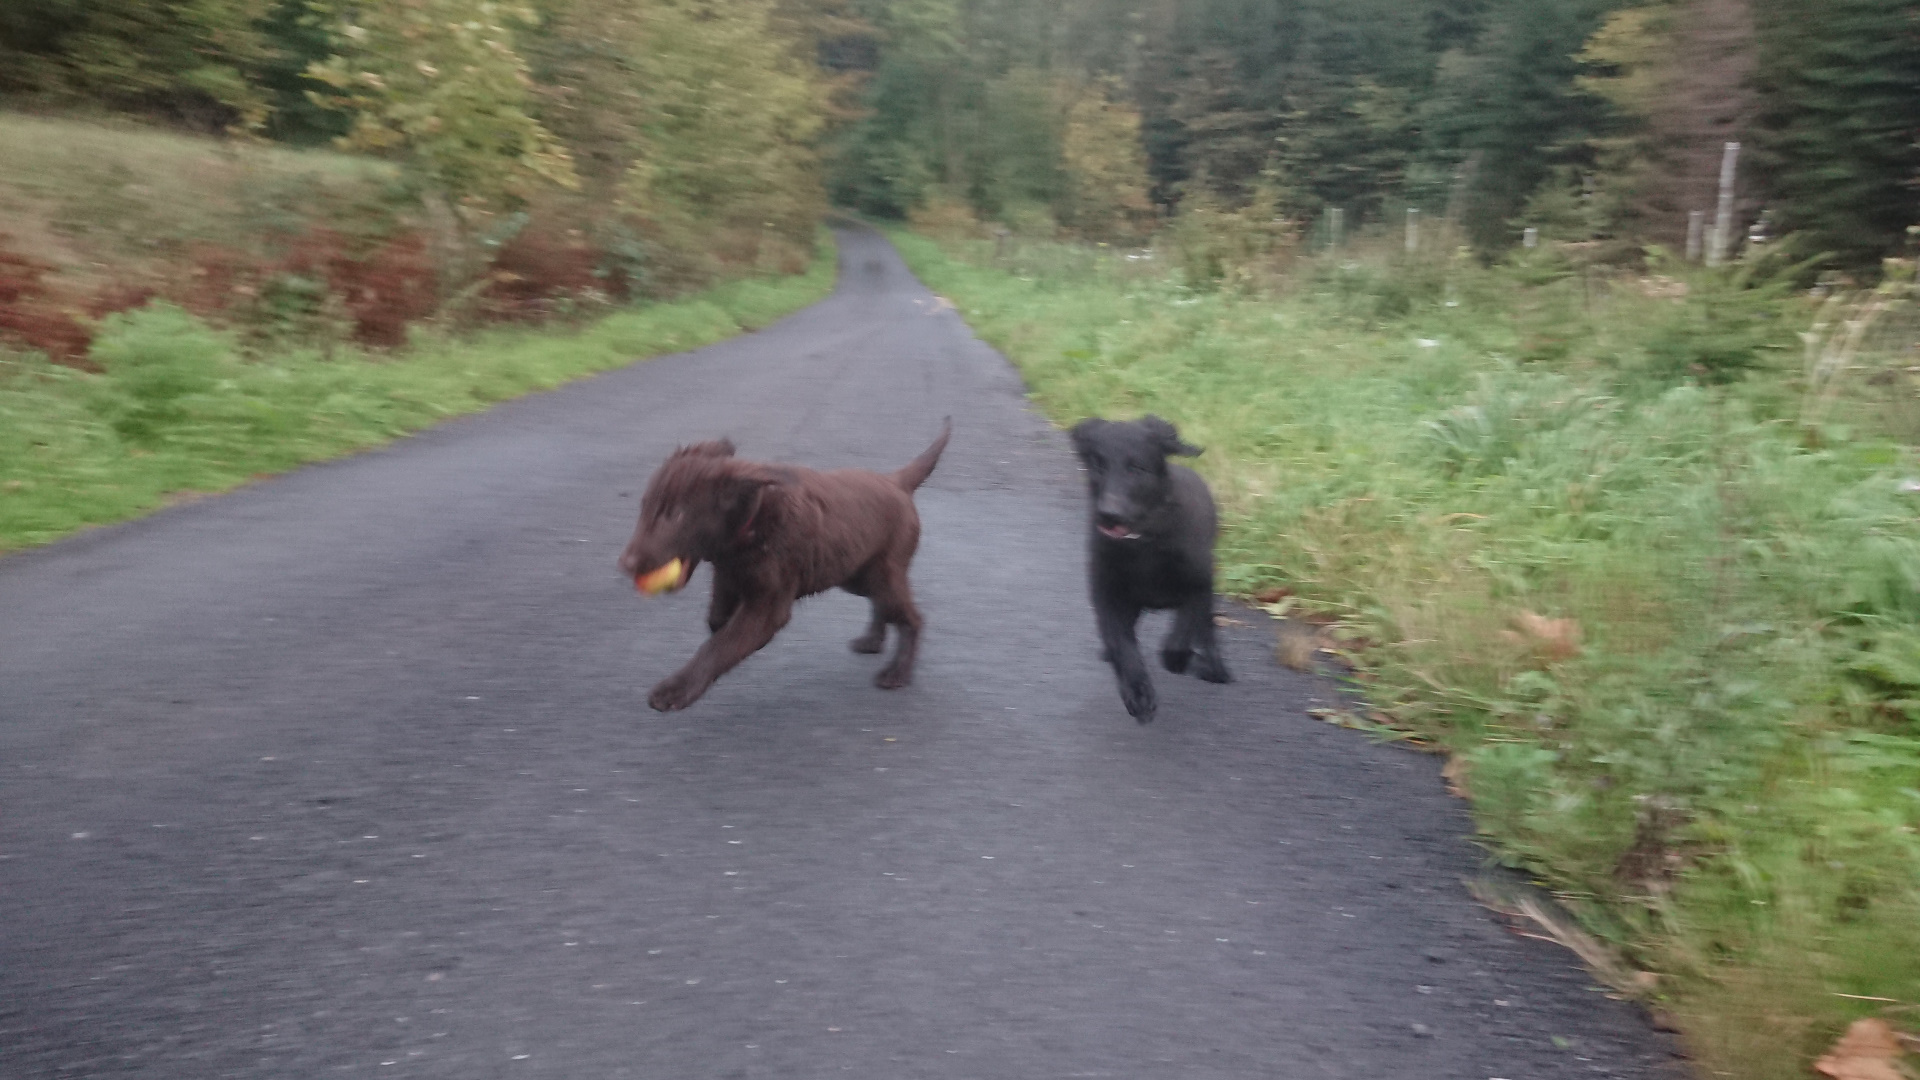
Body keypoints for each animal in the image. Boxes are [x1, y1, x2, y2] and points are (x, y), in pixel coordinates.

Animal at [618, 419, 951, 712]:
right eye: (644, 506)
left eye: (675, 515)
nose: (625, 564)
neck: (753, 522)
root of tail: (897, 482)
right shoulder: (728, 574)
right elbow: (717, 620)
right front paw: (718, 624)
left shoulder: (768, 607)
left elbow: (720, 646)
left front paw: (675, 689)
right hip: (855, 572)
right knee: (882, 605)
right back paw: (872, 640)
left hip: (883, 573)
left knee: (912, 618)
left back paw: (897, 673)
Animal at [1069, 415, 1231, 722]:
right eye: (1098, 465)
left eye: (1137, 468)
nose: (1108, 515)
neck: (1141, 541)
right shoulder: (1107, 593)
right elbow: (1122, 644)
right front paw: (1138, 693)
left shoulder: (1198, 584)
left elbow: (1182, 631)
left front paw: (1179, 659)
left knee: (1205, 629)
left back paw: (1213, 667)